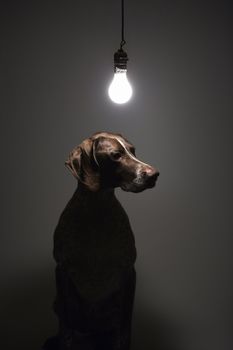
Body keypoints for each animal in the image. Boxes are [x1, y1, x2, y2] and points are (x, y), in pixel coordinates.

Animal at [43, 132, 159, 350]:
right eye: (116, 155)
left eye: (133, 151)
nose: (154, 174)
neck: (97, 209)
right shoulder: (62, 270)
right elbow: (66, 324)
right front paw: (64, 341)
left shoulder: (128, 272)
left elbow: (125, 323)